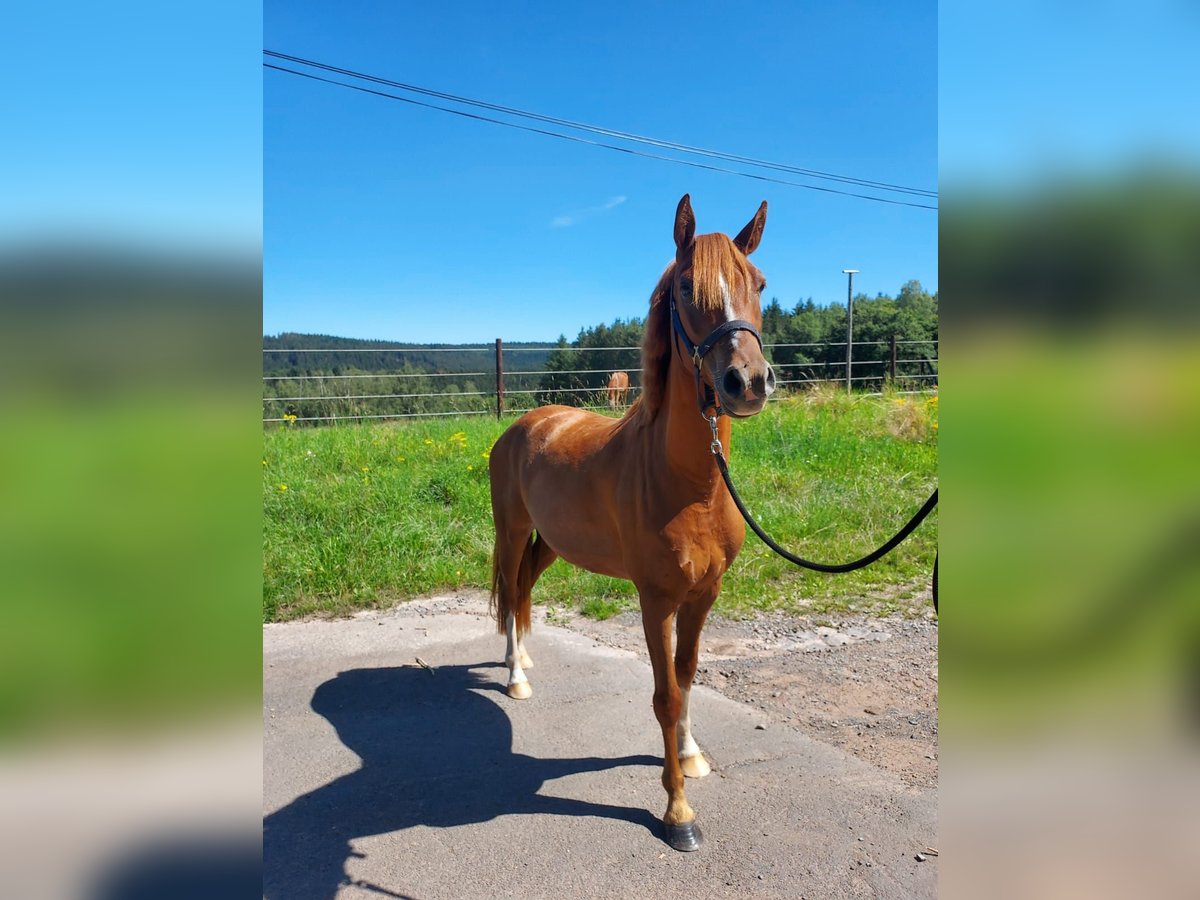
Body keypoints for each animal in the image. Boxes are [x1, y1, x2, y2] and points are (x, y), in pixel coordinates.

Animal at [489, 195, 777, 854]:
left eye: (758, 285)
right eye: (687, 289)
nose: (748, 383)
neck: (690, 485)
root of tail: (527, 423)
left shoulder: (704, 594)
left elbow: (688, 676)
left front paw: (691, 756)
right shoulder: (656, 600)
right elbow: (665, 695)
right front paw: (677, 811)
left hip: (551, 544)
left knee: (525, 591)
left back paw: (528, 661)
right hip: (512, 533)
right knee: (510, 591)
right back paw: (516, 677)